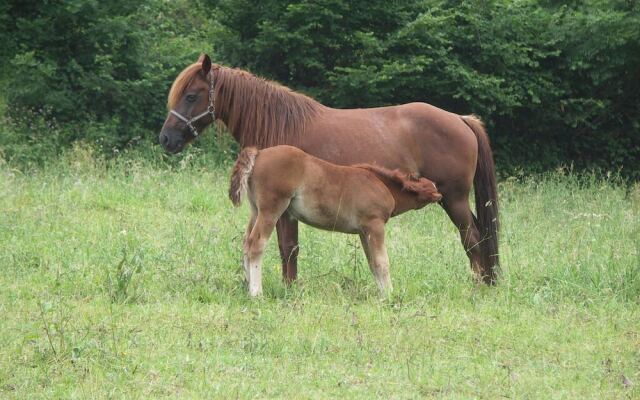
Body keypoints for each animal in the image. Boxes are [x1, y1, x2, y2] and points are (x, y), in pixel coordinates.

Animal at [230, 145, 444, 296]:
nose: (441, 195)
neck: (381, 184)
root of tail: (259, 153)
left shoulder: (363, 231)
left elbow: (372, 263)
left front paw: (382, 294)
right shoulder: (374, 225)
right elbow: (382, 262)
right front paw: (389, 295)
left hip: (256, 210)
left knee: (246, 243)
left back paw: (247, 285)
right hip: (271, 210)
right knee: (256, 244)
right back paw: (256, 293)